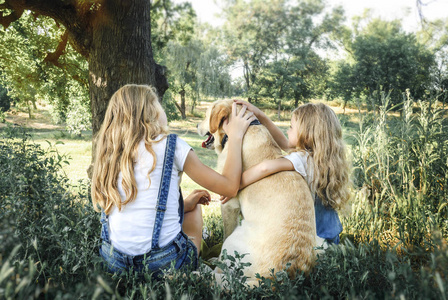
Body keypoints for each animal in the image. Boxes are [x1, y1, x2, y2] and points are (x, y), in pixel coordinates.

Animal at [198, 99, 316, 286]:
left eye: (205, 115)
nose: (196, 125)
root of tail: (273, 277)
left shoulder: (229, 203)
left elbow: (225, 231)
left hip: (235, 238)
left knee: (221, 273)